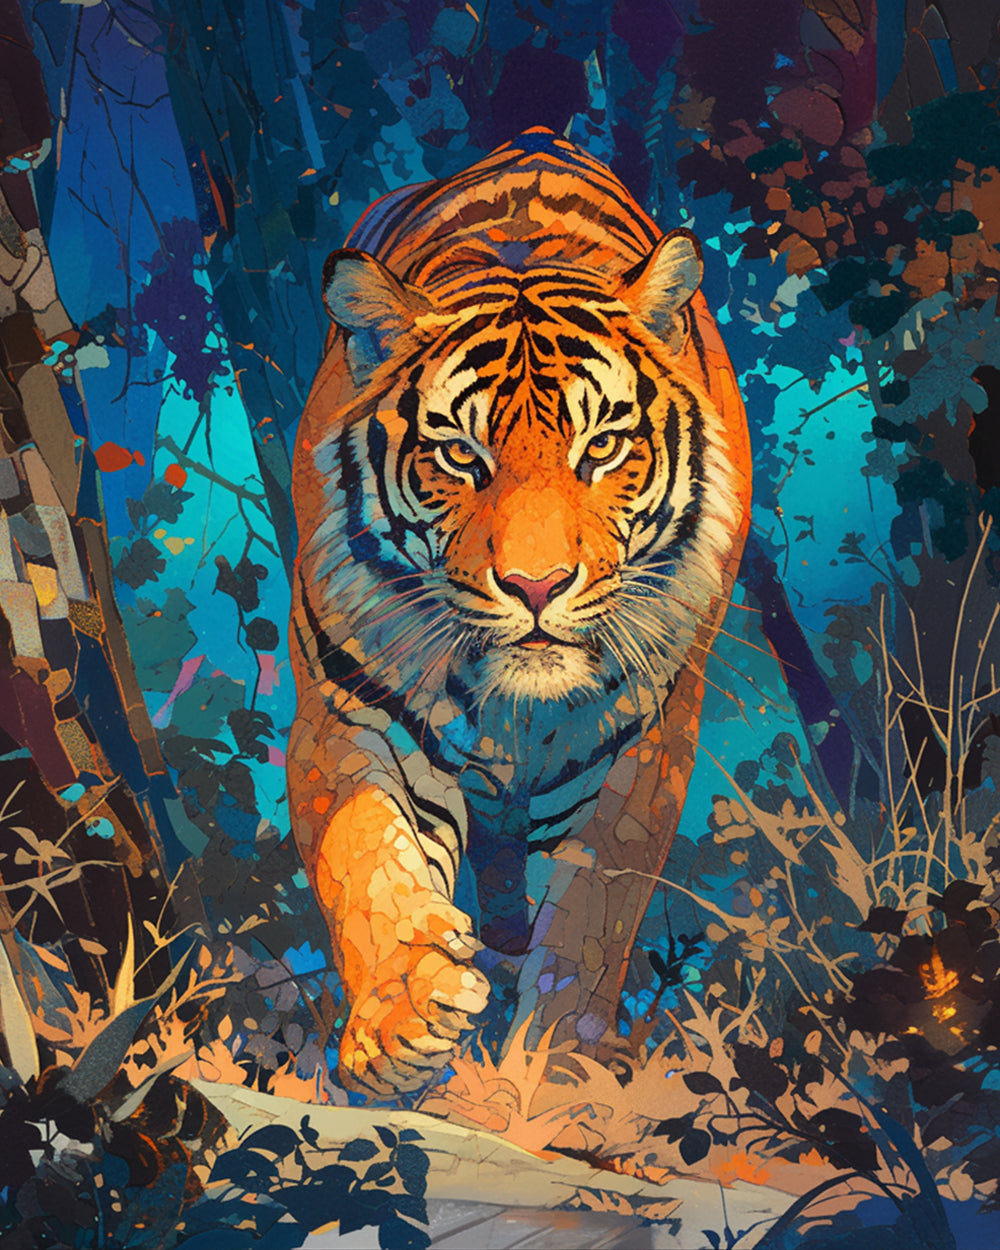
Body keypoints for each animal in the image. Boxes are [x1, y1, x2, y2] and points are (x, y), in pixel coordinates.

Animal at [288, 127, 751, 1096]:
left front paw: (558, 1079)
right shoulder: (345, 710)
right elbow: (365, 853)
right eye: (461, 455)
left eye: (602, 446)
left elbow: (592, 912)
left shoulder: (646, 740)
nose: (537, 585)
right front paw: (406, 1017)